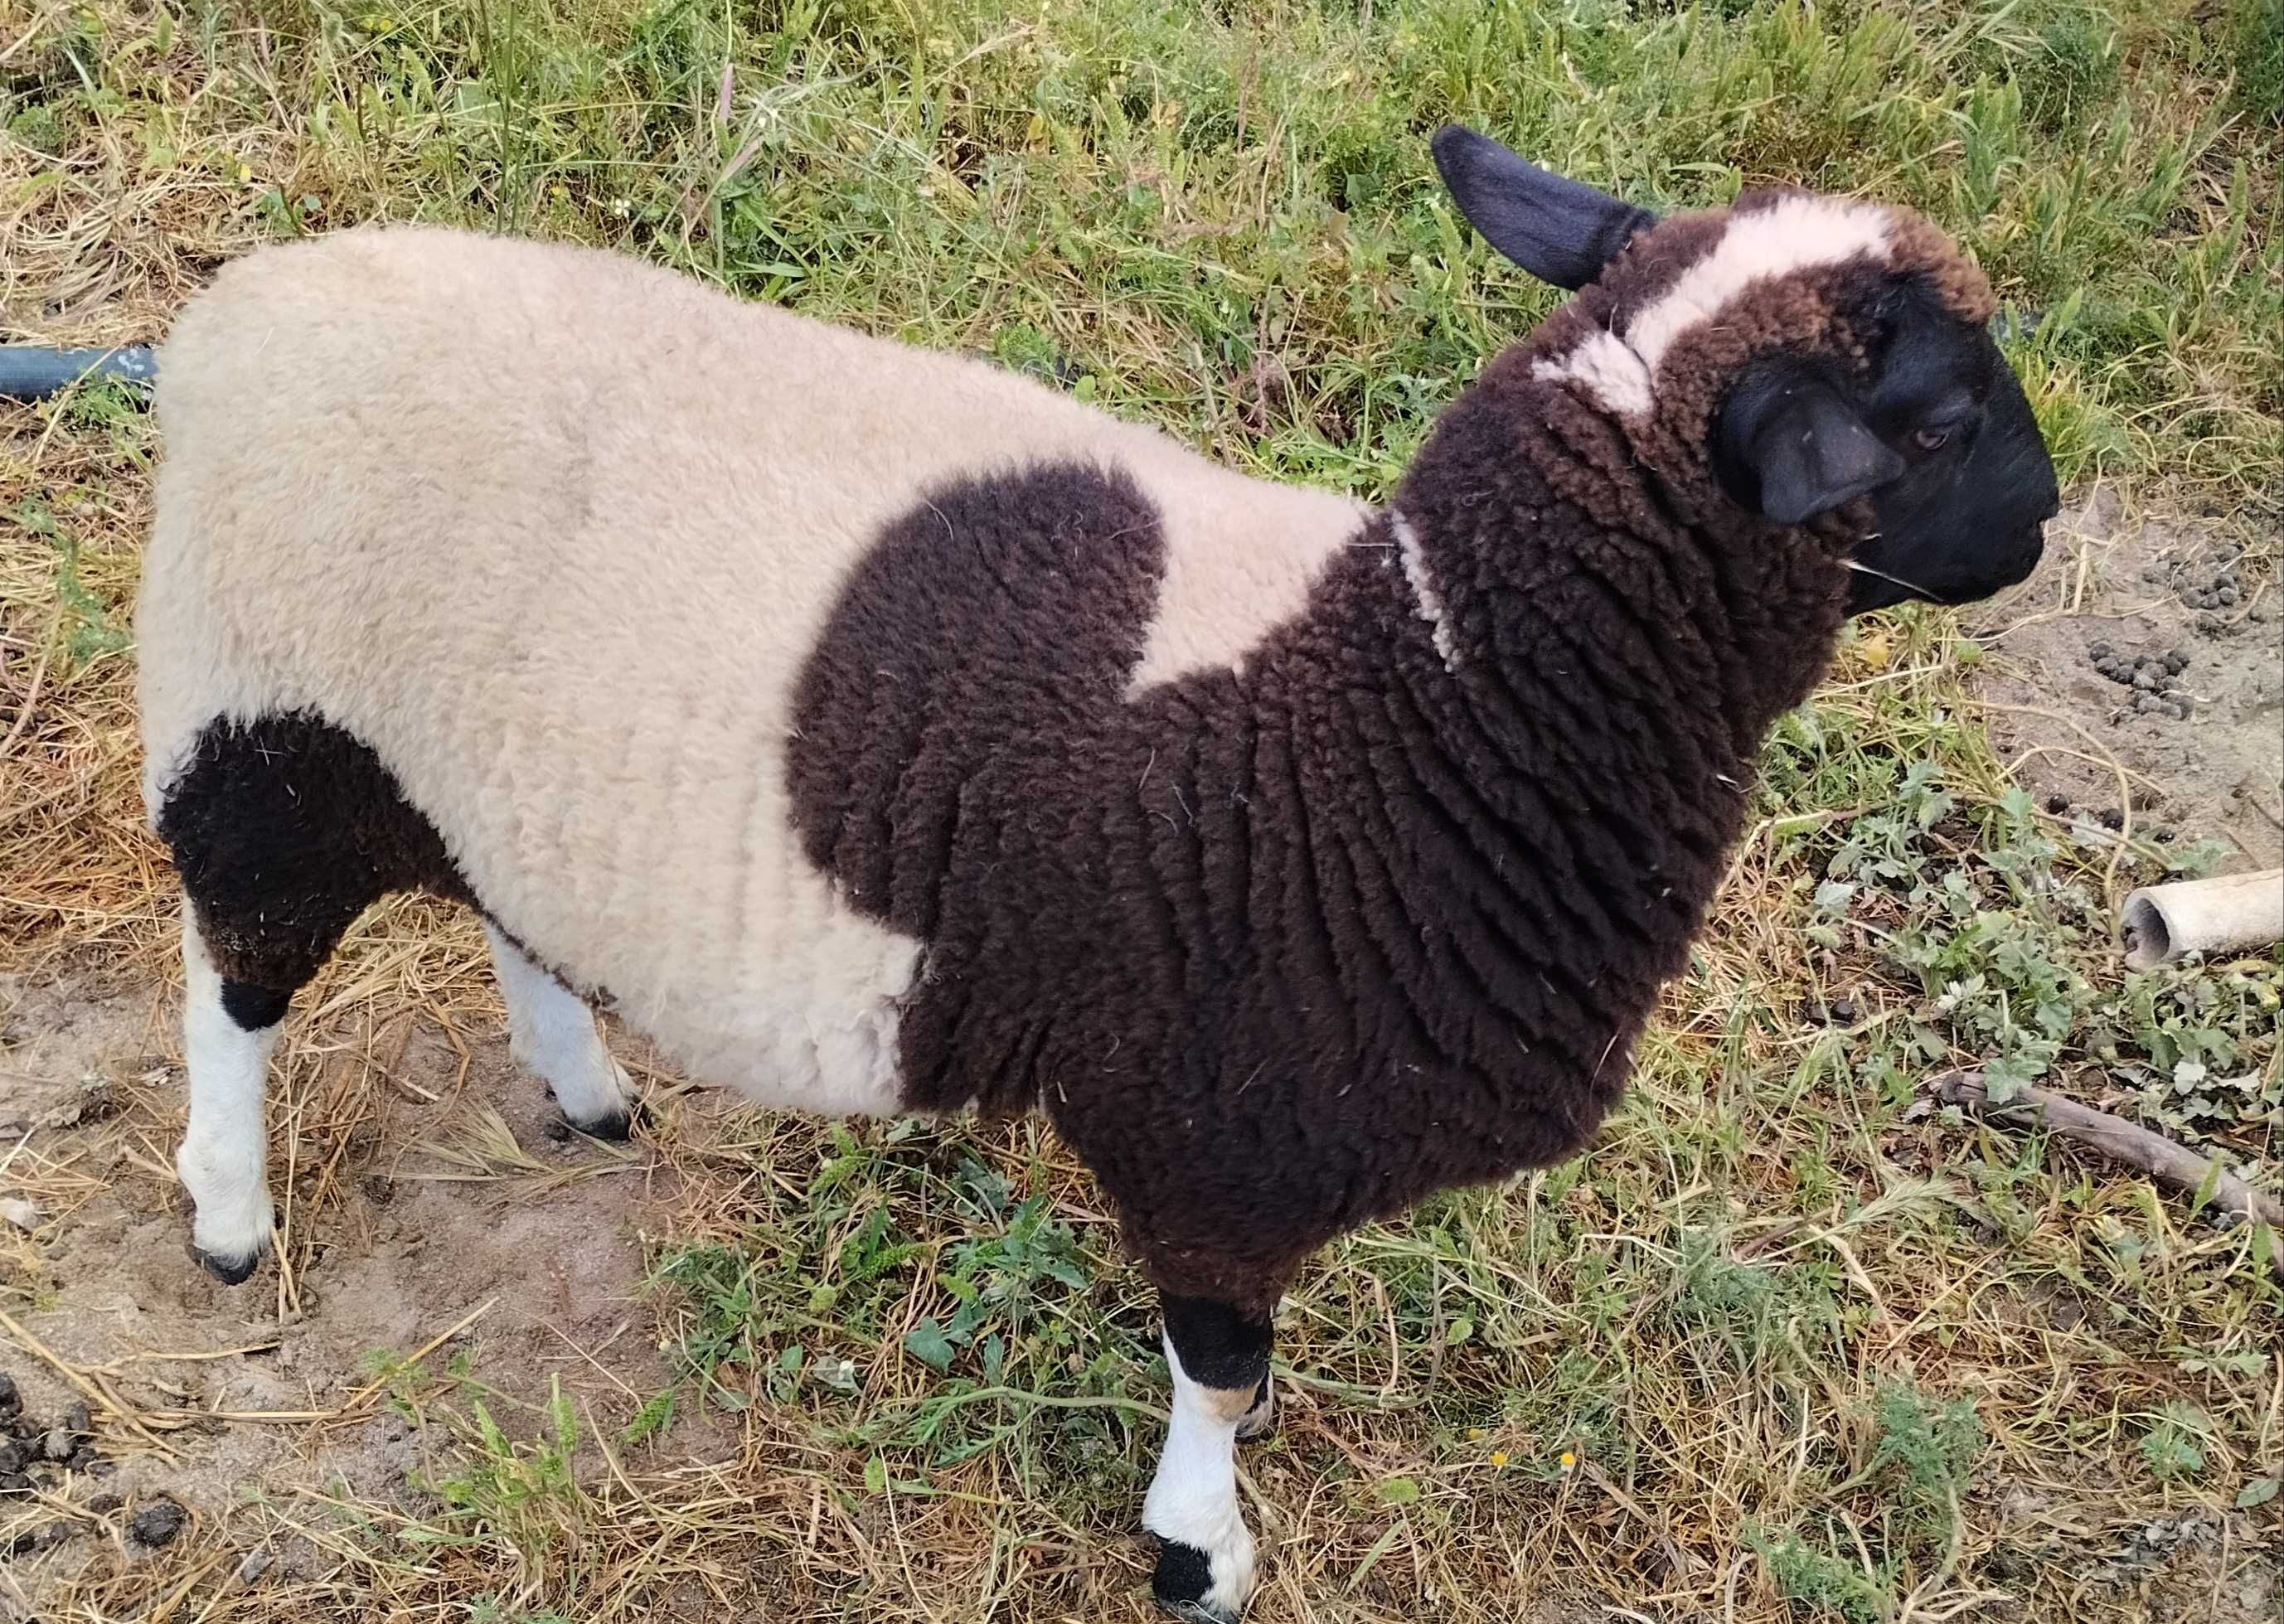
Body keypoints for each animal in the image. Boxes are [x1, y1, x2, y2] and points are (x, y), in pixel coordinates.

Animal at [133, 124, 2064, 1617]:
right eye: (1941, 418)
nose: (2046, 526)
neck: (1412, 705)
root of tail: (238, 313)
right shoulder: (1220, 1128)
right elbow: (1215, 1362)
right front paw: (1201, 1548)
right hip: (263, 732)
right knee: (231, 983)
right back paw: (228, 1213)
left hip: (468, 770)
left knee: (505, 908)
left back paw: (586, 1086)